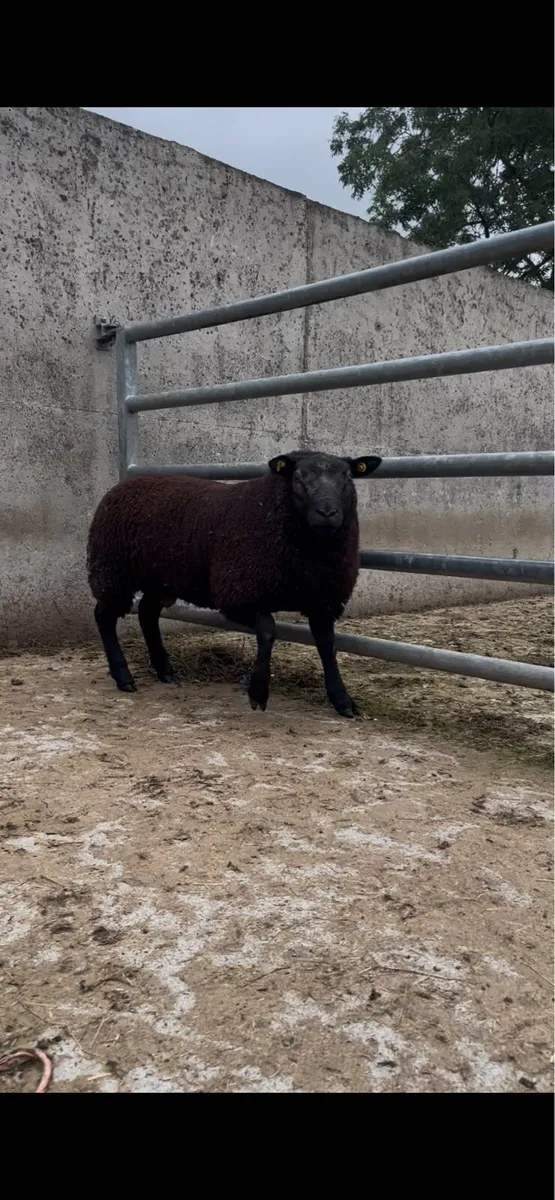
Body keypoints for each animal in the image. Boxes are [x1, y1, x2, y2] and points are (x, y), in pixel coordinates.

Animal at [86, 449, 382, 717]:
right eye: (298, 477)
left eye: (347, 477)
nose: (327, 512)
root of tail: (123, 483)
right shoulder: (237, 595)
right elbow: (268, 630)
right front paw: (258, 692)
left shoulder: (323, 601)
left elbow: (327, 646)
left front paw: (343, 701)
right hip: (112, 570)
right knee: (104, 616)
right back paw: (123, 676)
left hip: (161, 579)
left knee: (147, 613)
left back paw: (164, 670)